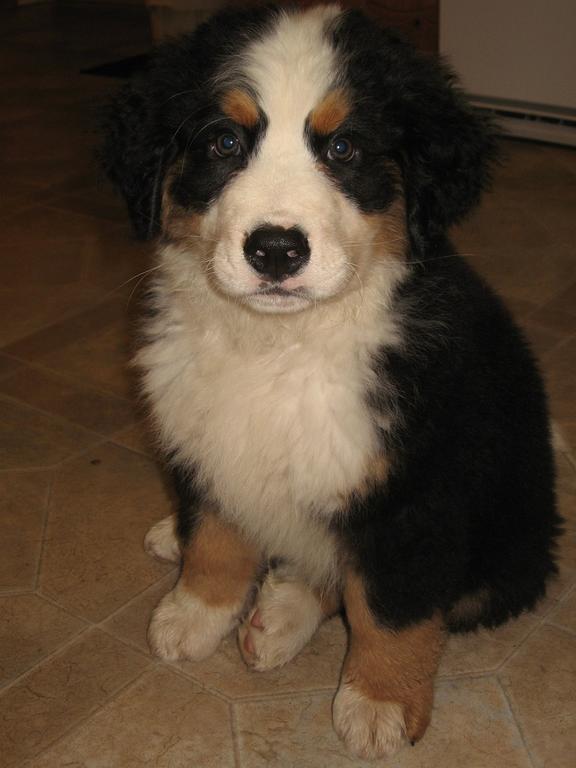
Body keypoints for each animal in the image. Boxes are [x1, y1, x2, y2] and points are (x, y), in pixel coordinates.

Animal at [101, 4, 560, 760]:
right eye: (224, 142)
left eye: (343, 149)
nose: (275, 249)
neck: (279, 345)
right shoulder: (209, 433)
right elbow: (217, 534)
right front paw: (195, 612)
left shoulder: (415, 490)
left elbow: (391, 611)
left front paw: (378, 704)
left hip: (507, 548)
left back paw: (281, 617)